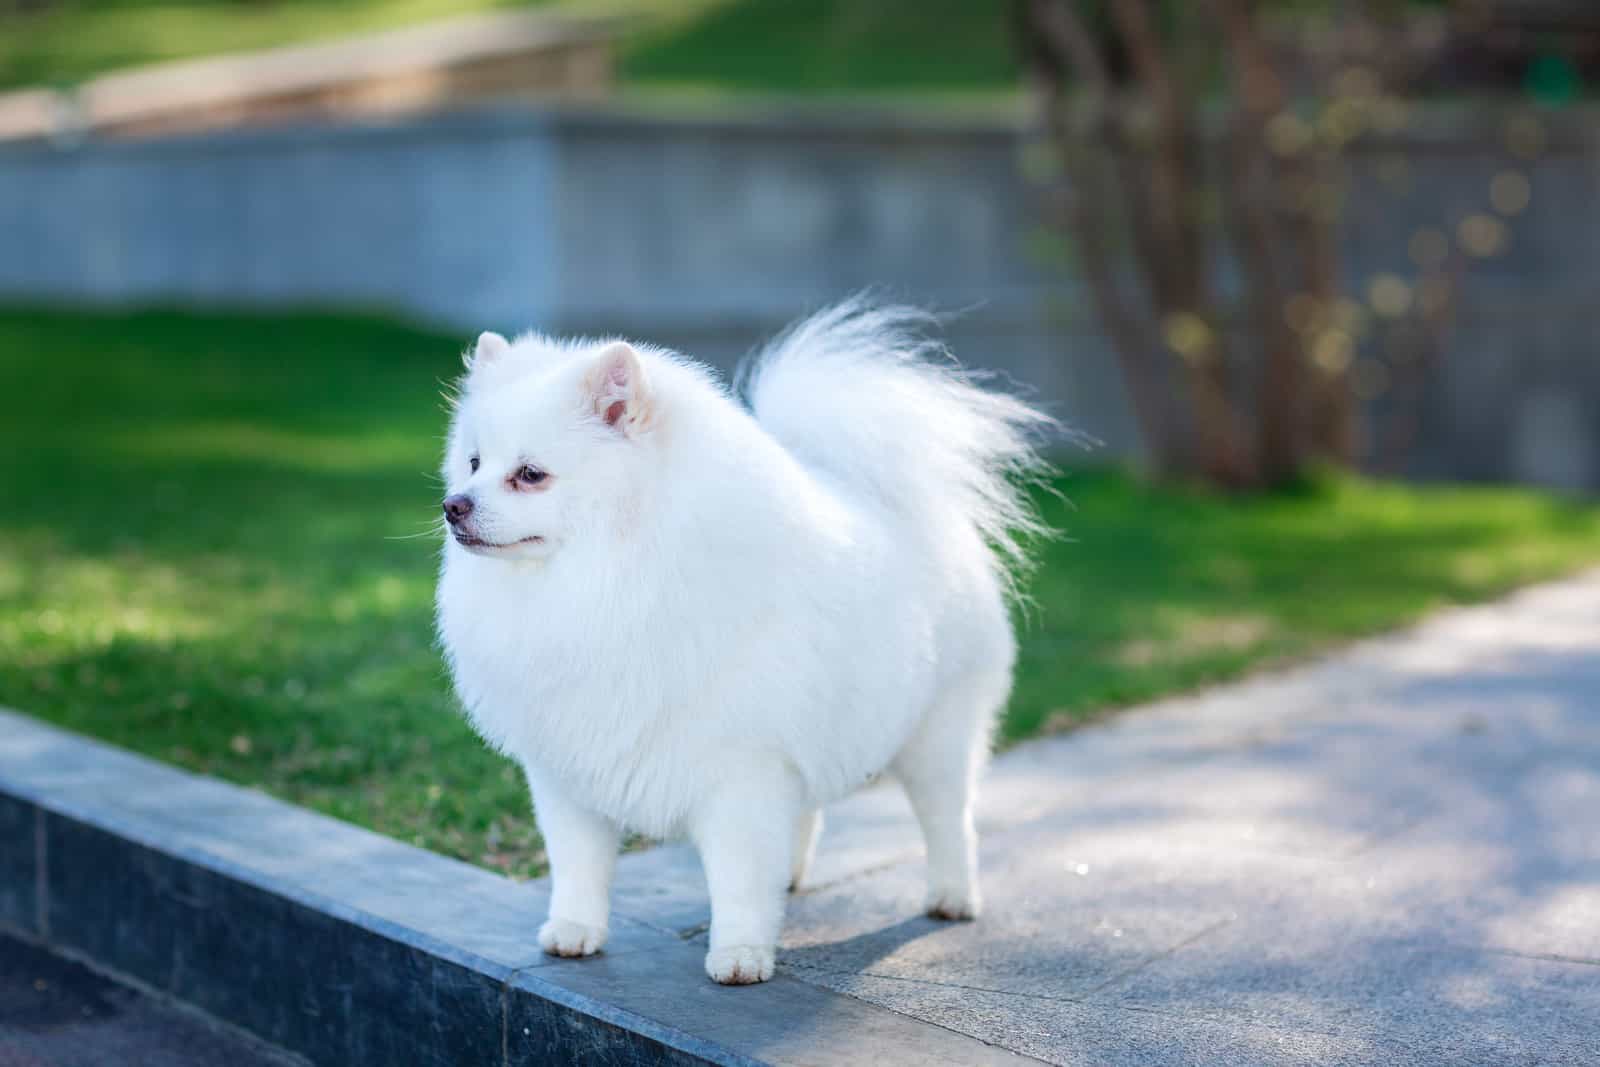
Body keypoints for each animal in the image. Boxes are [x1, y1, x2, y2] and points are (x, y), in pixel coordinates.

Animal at [435, 300, 1049, 985]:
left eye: (530, 475)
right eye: (473, 463)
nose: (453, 505)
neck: (607, 579)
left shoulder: (741, 769)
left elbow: (737, 875)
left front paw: (740, 955)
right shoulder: (568, 770)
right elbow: (578, 862)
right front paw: (573, 931)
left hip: (936, 733)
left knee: (949, 818)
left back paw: (952, 897)